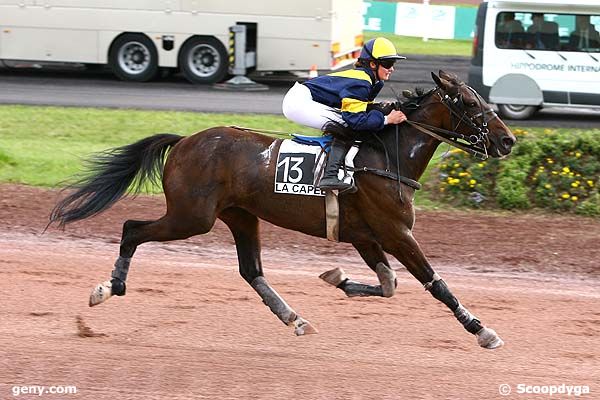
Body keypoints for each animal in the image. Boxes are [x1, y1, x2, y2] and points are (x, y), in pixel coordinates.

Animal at [50, 72, 516, 350]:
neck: (387, 158)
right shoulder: (395, 233)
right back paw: (107, 288)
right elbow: (435, 284)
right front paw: (482, 330)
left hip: (240, 216)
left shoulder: (366, 235)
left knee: (251, 271)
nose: (508, 140)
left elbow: (388, 285)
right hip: (192, 217)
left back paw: (295, 319)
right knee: (132, 228)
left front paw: (338, 278)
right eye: (469, 104)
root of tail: (185, 141)